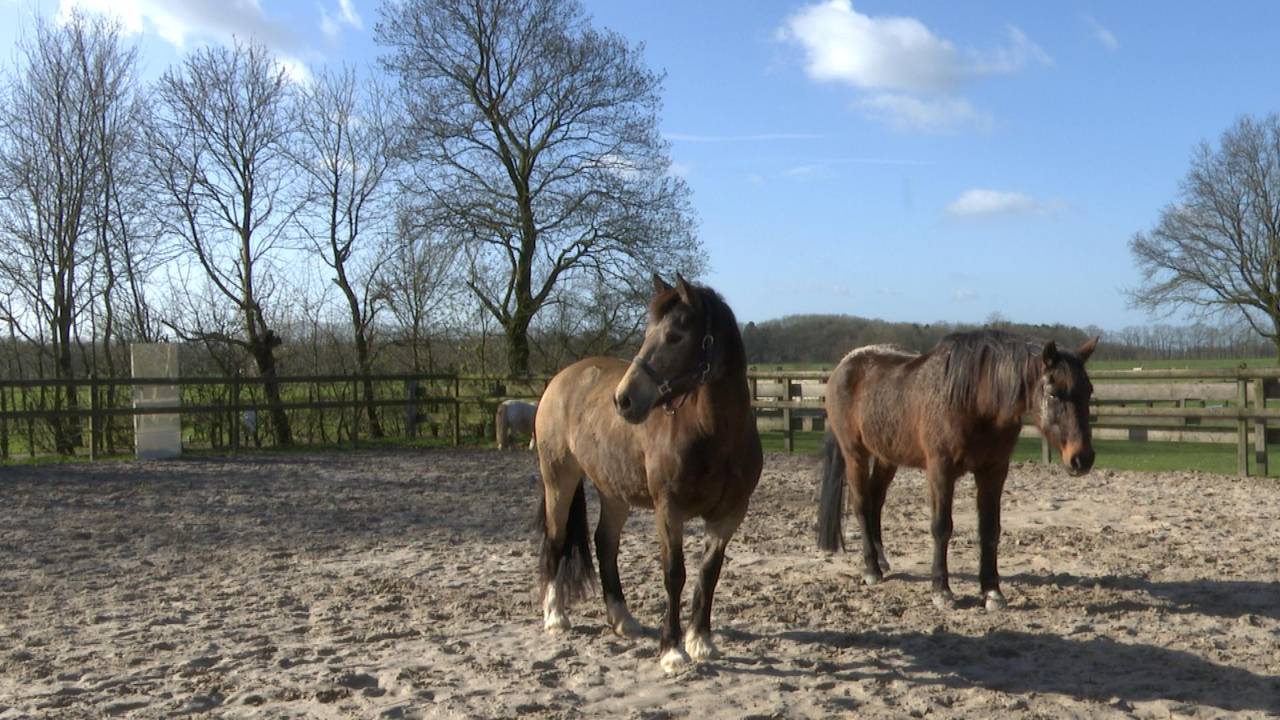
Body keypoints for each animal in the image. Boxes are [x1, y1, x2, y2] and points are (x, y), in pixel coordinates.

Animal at [534, 273, 762, 673]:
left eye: (674, 336)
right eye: (647, 332)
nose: (624, 399)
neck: (715, 434)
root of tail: (561, 379)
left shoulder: (730, 514)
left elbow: (709, 573)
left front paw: (701, 641)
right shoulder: (668, 509)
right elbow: (675, 574)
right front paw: (672, 650)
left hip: (614, 492)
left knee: (605, 542)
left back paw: (623, 620)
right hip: (558, 481)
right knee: (556, 540)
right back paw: (555, 616)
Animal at [816, 330, 1098, 611]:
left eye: (1089, 392)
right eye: (1053, 393)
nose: (1082, 458)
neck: (974, 401)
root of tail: (844, 365)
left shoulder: (994, 471)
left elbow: (989, 529)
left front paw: (992, 592)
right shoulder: (940, 471)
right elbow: (942, 527)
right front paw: (941, 591)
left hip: (887, 457)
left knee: (876, 501)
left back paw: (882, 561)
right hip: (855, 454)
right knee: (862, 504)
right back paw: (872, 569)